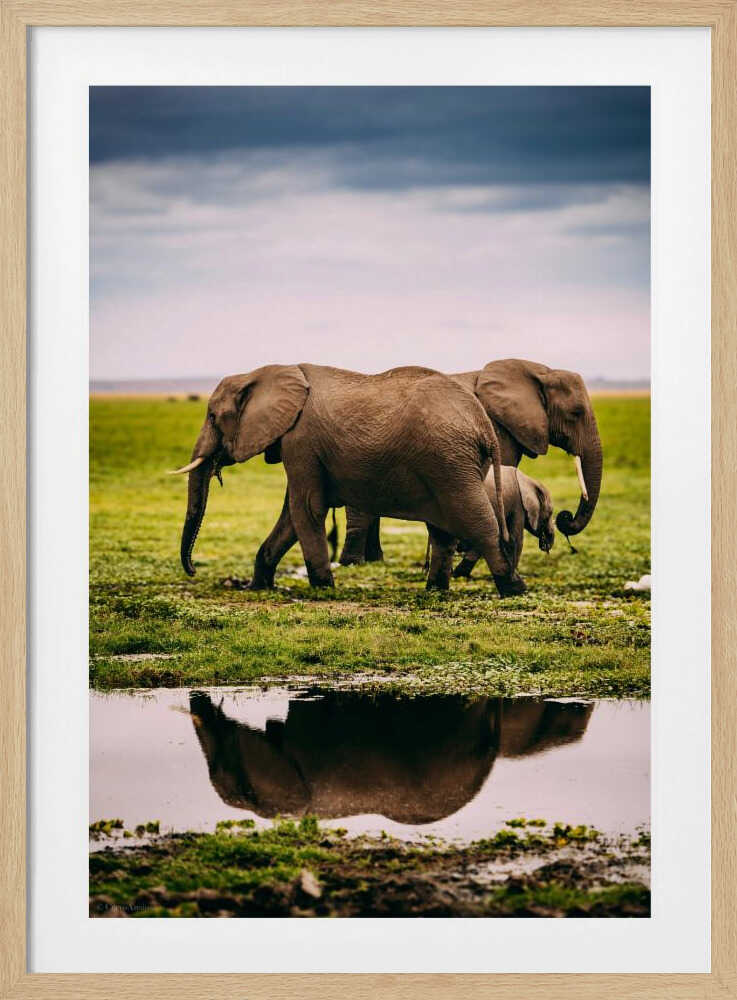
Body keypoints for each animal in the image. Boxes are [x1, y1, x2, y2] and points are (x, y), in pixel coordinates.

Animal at [171, 364, 524, 597]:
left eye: (213, 417)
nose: (193, 569)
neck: (265, 373)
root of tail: (484, 425)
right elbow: (290, 516)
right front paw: (257, 587)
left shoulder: (301, 440)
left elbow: (305, 509)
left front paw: (323, 589)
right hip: (449, 465)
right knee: (442, 531)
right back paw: (435, 590)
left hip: (450, 462)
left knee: (478, 522)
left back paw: (513, 589)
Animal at [339, 358, 603, 566]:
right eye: (576, 413)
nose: (566, 518)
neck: (539, 371)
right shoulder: (498, 429)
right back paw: (353, 563)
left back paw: (373, 560)